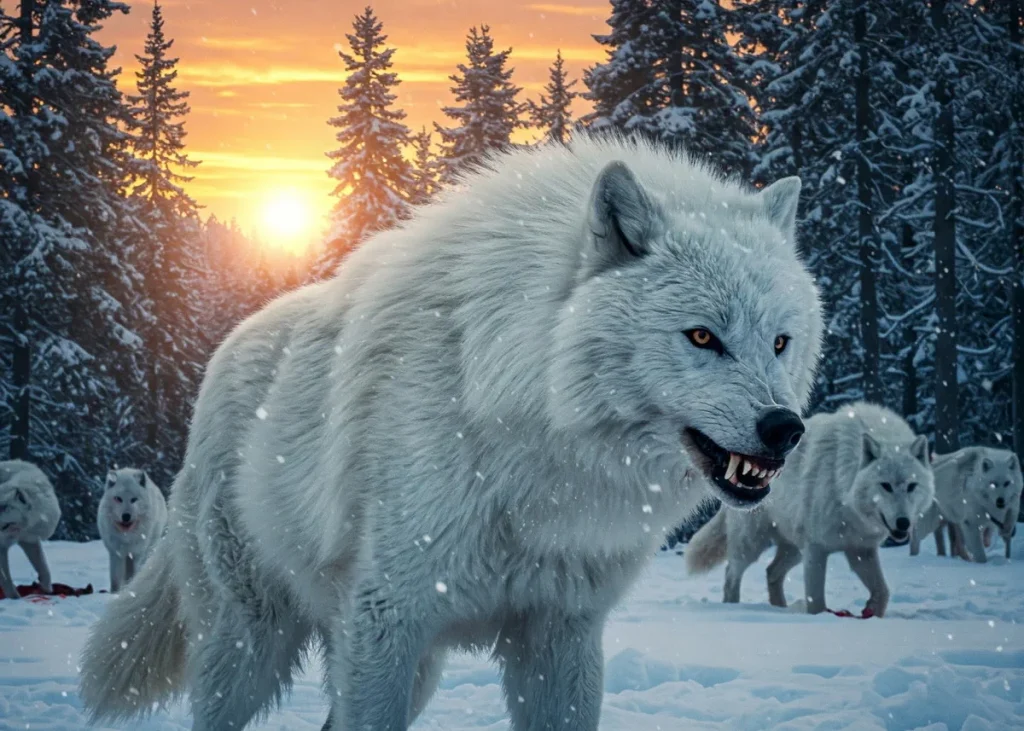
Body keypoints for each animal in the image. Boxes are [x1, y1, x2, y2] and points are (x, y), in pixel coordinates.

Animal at [0, 460, 61, 600]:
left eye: (4, 507)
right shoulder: (2, 545)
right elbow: (6, 578)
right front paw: (14, 598)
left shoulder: (30, 540)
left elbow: (44, 567)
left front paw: (46, 588)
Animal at [80, 136, 823, 731]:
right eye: (702, 337)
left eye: (780, 342)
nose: (785, 429)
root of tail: (224, 352)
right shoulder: (386, 617)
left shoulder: (561, 633)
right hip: (250, 646)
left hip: (413, 668)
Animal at [687, 402, 934, 618]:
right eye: (886, 486)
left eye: (912, 486)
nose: (903, 522)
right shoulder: (816, 549)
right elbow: (816, 602)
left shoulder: (860, 550)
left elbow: (883, 592)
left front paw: (871, 612)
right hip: (753, 544)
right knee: (731, 574)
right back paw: (733, 608)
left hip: (794, 549)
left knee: (771, 572)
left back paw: (781, 609)